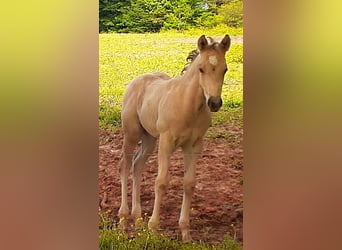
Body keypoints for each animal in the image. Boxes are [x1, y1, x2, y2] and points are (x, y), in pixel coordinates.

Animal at [118, 34, 232, 241]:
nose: (214, 103)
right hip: (132, 134)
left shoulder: (195, 146)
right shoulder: (166, 141)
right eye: (201, 68)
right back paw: (123, 220)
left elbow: (189, 184)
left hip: (149, 138)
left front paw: (185, 233)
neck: (189, 105)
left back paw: (137, 218)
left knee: (138, 165)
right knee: (125, 165)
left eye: (225, 69)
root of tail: (137, 81)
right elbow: (161, 182)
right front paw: (153, 228)